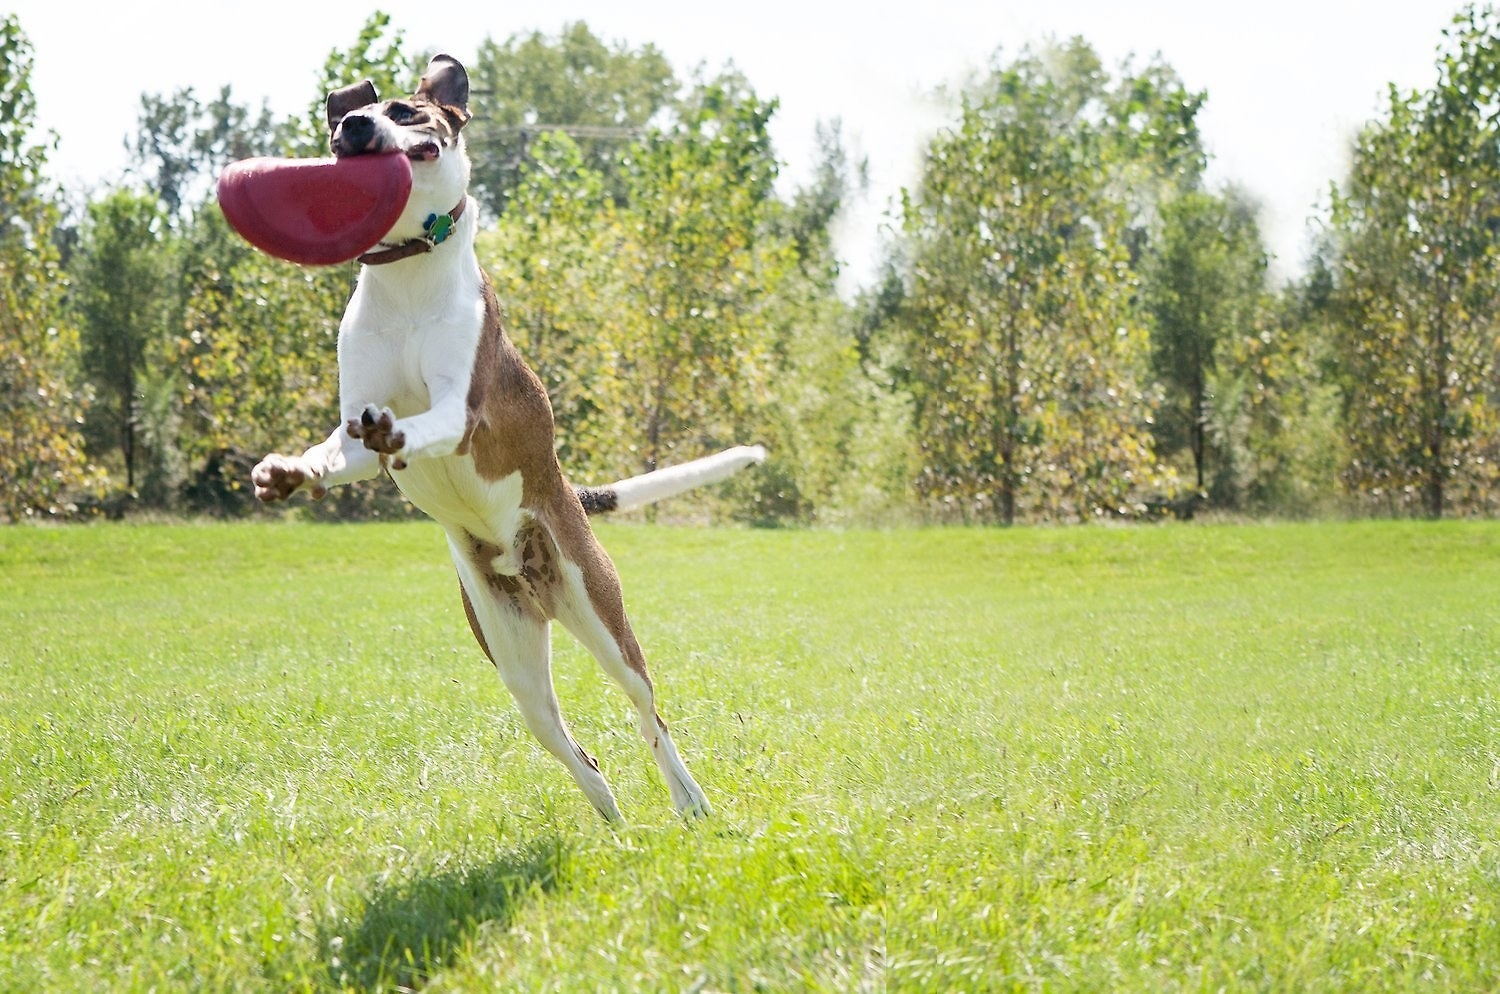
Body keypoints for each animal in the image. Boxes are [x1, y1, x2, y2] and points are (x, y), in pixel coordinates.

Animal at [250, 52, 762, 821]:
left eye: (408, 113)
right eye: (349, 117)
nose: (354, 124)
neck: (409, 276)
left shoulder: (465, 414)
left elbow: (426, 423)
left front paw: (399, 429)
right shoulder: (352, 441)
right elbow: (337, 452)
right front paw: (288, 471)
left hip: (604, 619)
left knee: (649, 716)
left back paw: (689, 800)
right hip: (513, 660)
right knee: (583, 755)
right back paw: (614, 823)